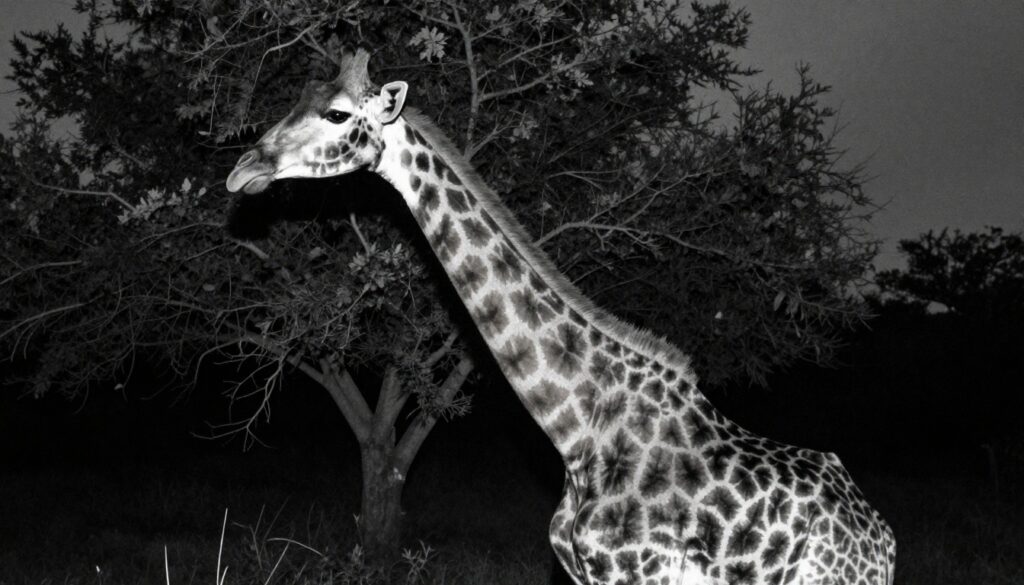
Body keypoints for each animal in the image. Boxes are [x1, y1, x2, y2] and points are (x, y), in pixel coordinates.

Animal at [226, 49, 896, 585]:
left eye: (338, 115)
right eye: (297, 99)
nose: (243, 171)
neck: (577, 431)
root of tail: (880, 539)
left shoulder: (632, 575)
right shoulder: (579, 572)